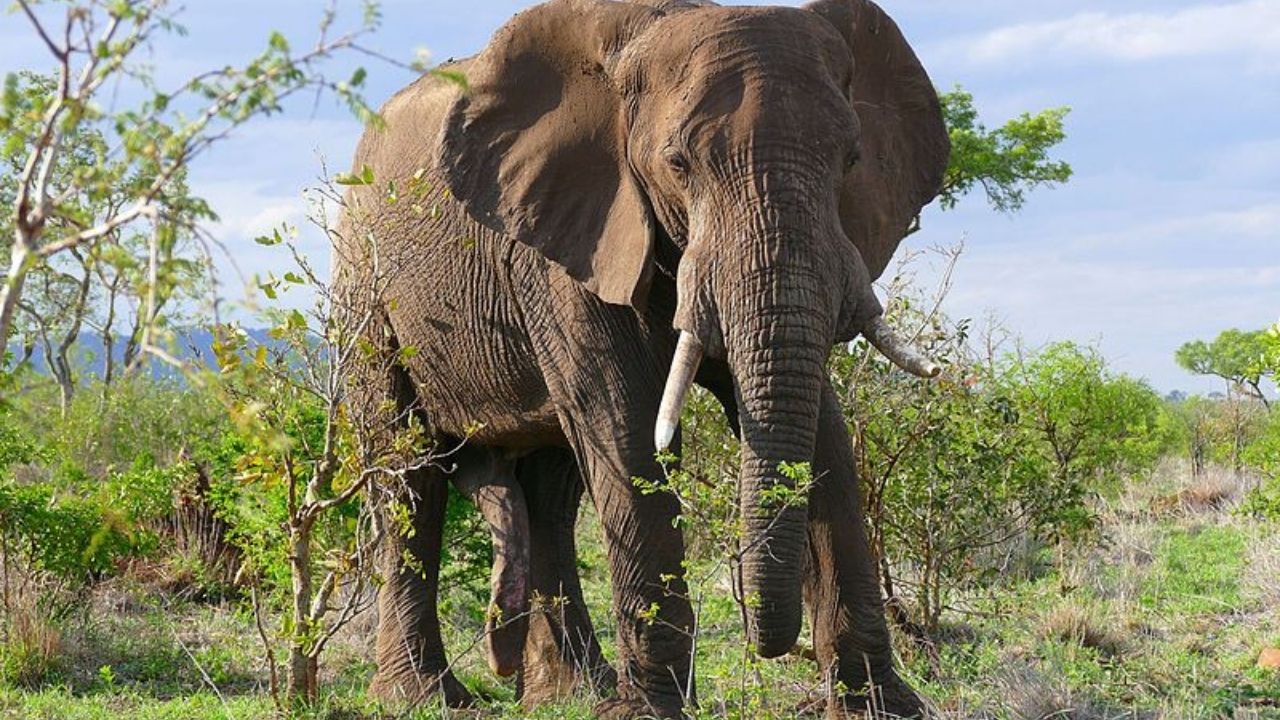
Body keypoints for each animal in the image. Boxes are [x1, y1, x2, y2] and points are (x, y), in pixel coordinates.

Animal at [334, 0, 949, 717]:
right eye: (678, 164)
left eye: (851, 159)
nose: (763, 641)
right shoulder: (569, 240)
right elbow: (627, 426)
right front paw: (648, 711)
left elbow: (824, 429)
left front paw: (884, 705)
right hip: (365, 286)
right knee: (409, 471)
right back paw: (426, 697)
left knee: (551, 491)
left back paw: (569, 692)